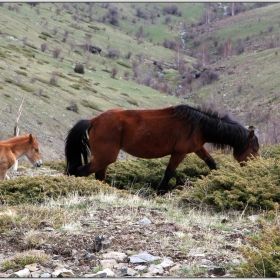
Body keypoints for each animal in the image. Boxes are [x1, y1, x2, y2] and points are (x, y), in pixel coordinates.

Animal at [64, 104, 260, 195]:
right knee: (81, 172)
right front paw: (160, 192)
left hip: (103, 159)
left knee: (98, 176)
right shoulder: (179, 153)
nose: (255, 168)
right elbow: (169, 172)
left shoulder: (198, 148)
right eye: (254, 148)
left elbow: (211, 163)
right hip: (105, 157)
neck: (199, 126)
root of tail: (93, 120)